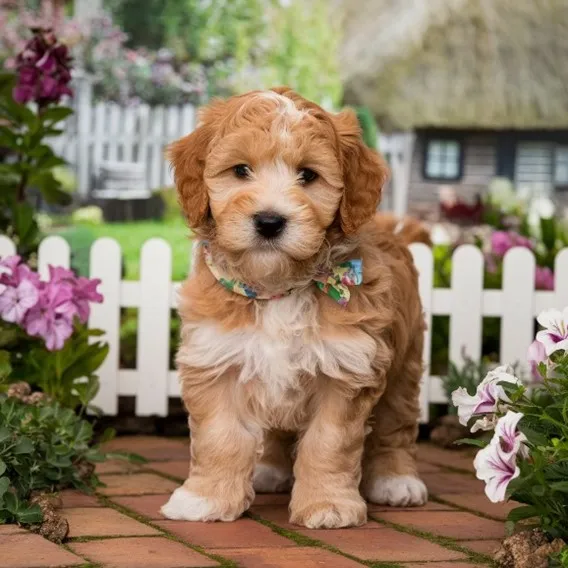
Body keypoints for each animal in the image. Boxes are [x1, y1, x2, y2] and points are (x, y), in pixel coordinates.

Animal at [160, 87, 426, 528]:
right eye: (240, 170)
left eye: (308, 176)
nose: (269, 221)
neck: (279, 289)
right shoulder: (216, 358)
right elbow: (220, 437)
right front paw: (205, 500)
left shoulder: (347, 367)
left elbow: (329, 442)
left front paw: (328, 505)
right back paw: (270, 469)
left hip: (405, 362)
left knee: (396, 425)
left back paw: (396, 480)